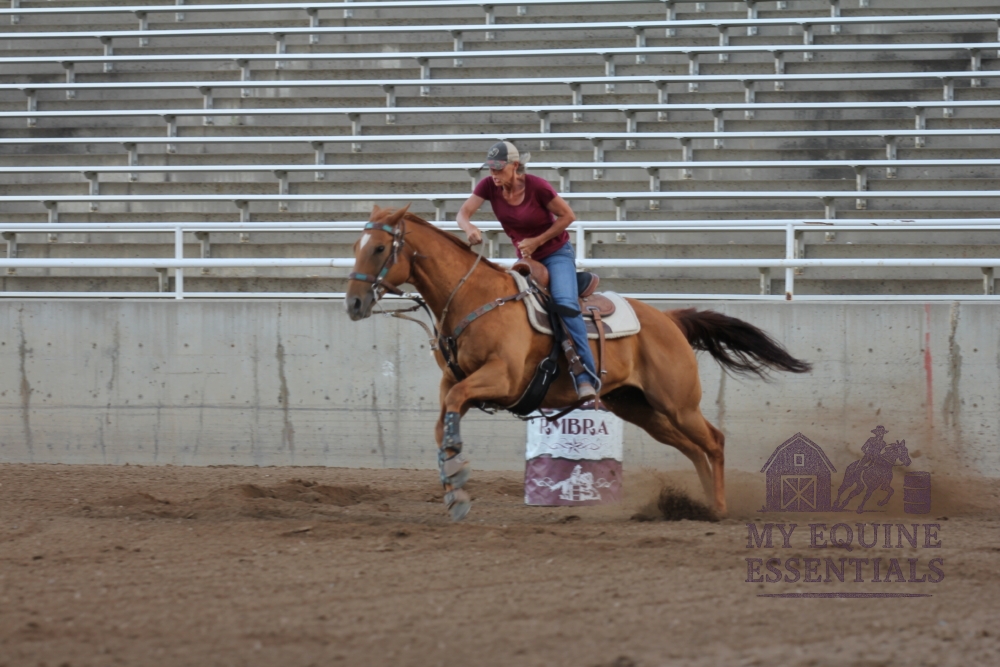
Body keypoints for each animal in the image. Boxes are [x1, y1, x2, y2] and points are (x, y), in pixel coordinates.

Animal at [345, 205, 812, 521]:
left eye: (381, 247)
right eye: (356, 246)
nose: (353, 303)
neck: (476, 298)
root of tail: (670, 319)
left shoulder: (502, 379)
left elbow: (456, 408)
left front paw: (457, 483)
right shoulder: (451, 381)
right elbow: (444, 422)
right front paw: (453, 488)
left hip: (678, 403)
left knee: (713, 441)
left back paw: (718, 507)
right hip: (639, 407)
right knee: (694, 448)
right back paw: (695, 504)